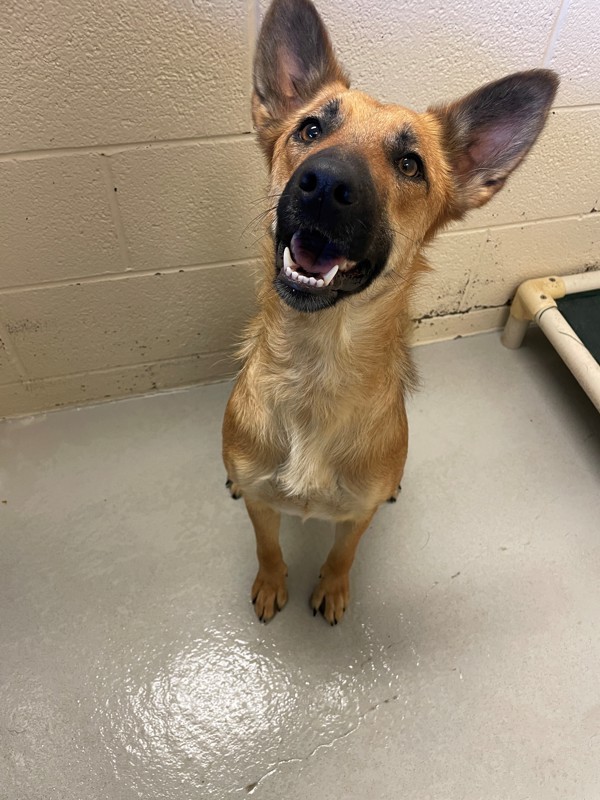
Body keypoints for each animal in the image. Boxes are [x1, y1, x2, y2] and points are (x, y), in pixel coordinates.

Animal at [223, 0, 560, 624]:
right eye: (310, 129)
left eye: (409, 164)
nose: (323, 184)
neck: (317, 368)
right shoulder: (261, 503)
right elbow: (267, 544)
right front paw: (272, 580)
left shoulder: (359, 514)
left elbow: (344, 552)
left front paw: (332, 588)